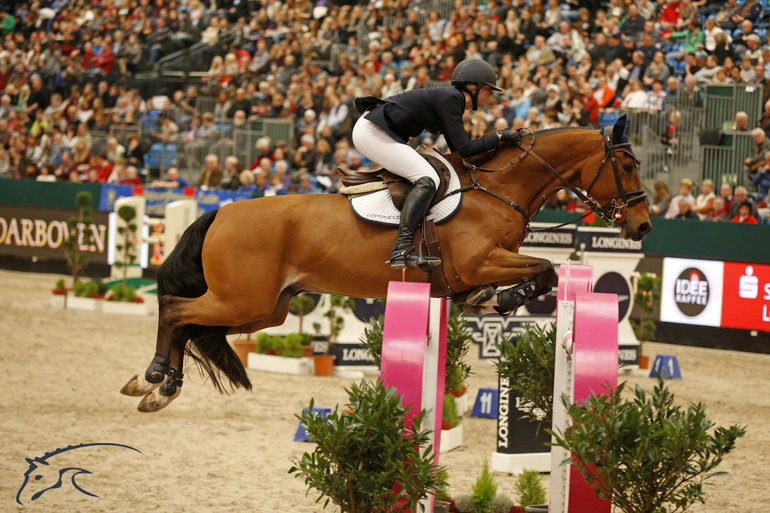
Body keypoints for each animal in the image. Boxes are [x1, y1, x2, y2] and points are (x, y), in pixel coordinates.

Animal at [121, 113, 648, 412]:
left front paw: (494, 301)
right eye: (626, 166)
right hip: (241, 300)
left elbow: (544, 271)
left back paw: (160, 387)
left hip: (264, 308)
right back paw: (153, 377)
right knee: (175, 309)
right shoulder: (481, 262)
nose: (642, 227)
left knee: (192, 324)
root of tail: (221, 211)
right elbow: (544, 270)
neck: (498, 189)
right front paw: (500, 300)